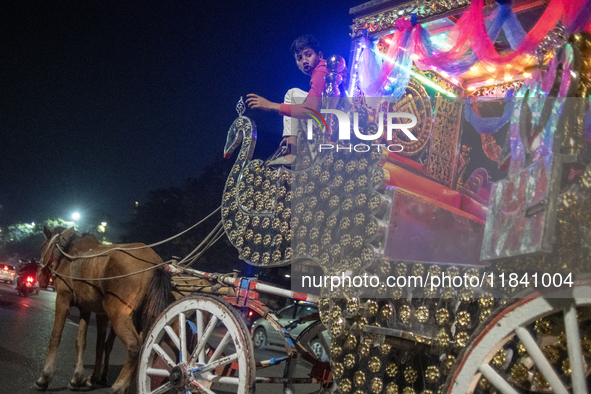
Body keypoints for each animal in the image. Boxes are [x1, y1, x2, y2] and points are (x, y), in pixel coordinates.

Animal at [35, 228, 173, 394]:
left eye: (42, 246)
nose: (40, 276)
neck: (68, 253)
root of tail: (156, 264)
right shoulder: (86, 308)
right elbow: (83, 342)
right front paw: (78, 378)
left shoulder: (62, 299)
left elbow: (55, 337)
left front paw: (44, 378)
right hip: (142, 317)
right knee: (144, 346)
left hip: (117, 312)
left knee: (135, 346)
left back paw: (119, 386)